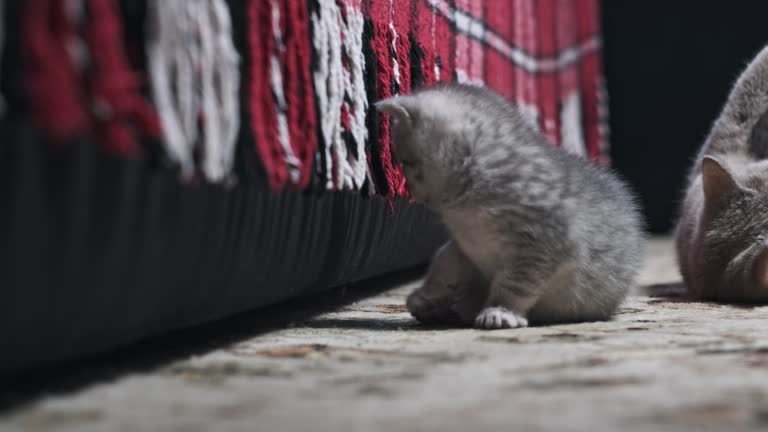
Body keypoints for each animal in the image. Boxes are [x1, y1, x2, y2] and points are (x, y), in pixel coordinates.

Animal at [376, 83, 644, 328]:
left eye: (405, 162)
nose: (412, 193)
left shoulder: (540, 249)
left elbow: (513, 287)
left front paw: (500, 311)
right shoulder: (464, 247)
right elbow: (446, 265)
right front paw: (427, 294)